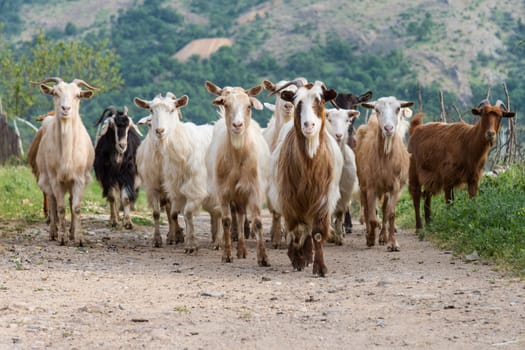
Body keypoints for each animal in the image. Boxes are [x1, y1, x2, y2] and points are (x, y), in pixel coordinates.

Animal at [408, 100, 512, 230]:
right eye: (482, 114)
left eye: (500, 116)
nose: (490, 134)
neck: (468, 142)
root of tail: (416, 129)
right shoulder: (447, 179)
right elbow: (450, 202)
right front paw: (450, 223)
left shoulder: (473, 179)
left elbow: (472, 200)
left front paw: (472, 221)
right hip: (414, 171)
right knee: (416, 196)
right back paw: (419, 227)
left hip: (430, 176)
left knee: (427, 194)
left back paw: (429, 223)